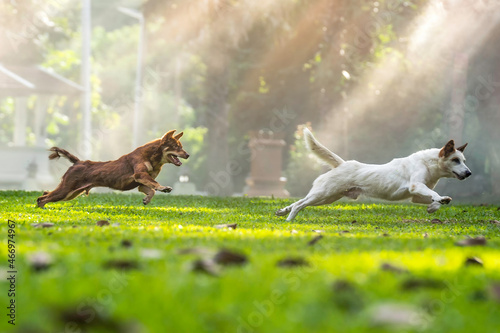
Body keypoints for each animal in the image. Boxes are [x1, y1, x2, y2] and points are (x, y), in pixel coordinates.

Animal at [37, 128, 189, 206]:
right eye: (176, 147)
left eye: (181, 147)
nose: (188, 155)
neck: (153, 157)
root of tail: (78, 162)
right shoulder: (140, 175)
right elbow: (155, 184)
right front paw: (163, 188)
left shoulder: (140, 184)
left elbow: (151, 190)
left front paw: (146, 200)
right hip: (66, 190)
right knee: (42, 198)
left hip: (71, 194)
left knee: (44, 195)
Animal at [276, 127, 470, 220]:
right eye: (455, 160)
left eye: (464, 160)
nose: (469, 173)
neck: (429, 163)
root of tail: (342, 164)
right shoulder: (416, 186)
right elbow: (435, 194)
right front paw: (439, 200)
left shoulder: (416, 196)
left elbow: (435, 200)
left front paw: (434, 206)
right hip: (324, 194)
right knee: (299, 204)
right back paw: (289, 220)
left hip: (327, 197)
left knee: (299, 201)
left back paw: (282, 211)